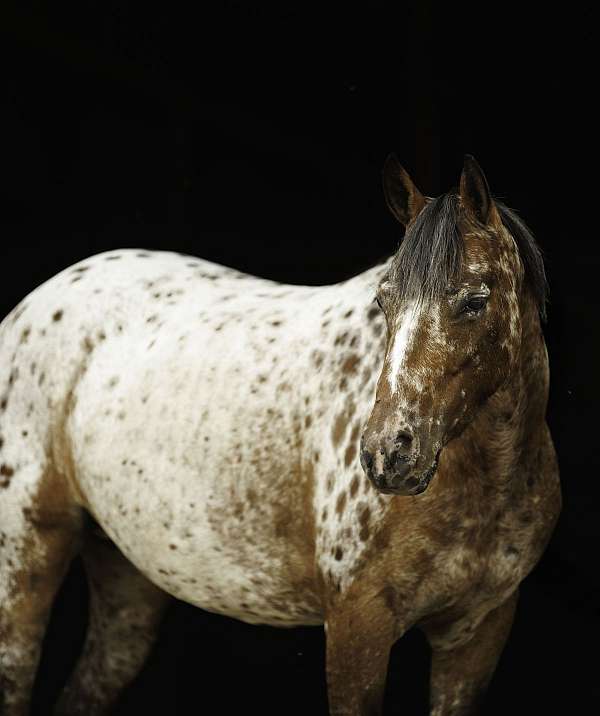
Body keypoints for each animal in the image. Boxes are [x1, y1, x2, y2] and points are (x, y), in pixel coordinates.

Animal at [0, 154, 561, 715]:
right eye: (384, 302)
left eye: (475, 302)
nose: (388, 454)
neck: (482, 482)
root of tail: (29, 308)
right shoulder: (357, 627)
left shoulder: (478, 634)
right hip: (25, 564)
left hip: (125, 579)